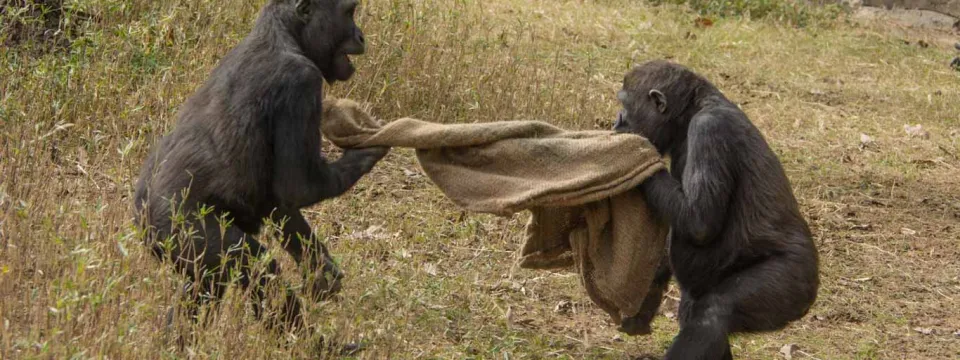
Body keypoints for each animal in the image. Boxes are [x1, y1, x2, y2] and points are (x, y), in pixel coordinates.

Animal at [133, 0, 388, 332]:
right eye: (349, 12)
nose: (360, 35)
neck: (287, 35)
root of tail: (142, 214)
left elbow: (278, 202)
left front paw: (319, 265)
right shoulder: (301, 82)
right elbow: (297, 187)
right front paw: (368, 151)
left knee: (205, 285)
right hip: (182, 228)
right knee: (260, 270)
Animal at [616, 60, 816, 358]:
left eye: (624, 104)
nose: (618, 119)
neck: (691, 110)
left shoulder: (709, 130)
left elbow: (699, 222)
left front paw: (634, 144)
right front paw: (648, 294)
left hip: (793, 282)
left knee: (712, 315)